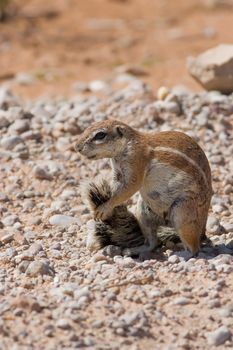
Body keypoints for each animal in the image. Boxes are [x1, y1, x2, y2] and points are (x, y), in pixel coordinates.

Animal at [75, 119, 212, 256]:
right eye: (87, 128)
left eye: (100, 135)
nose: (77, 147)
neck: (127, 145)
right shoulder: (117, 173)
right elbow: (115, 188)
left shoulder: (136, 161)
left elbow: (130, 187)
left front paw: (105, 207)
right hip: (143, 213)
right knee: (153, 242)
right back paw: (135, 250)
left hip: (183, 213)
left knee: (194, 248)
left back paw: (182, 254)